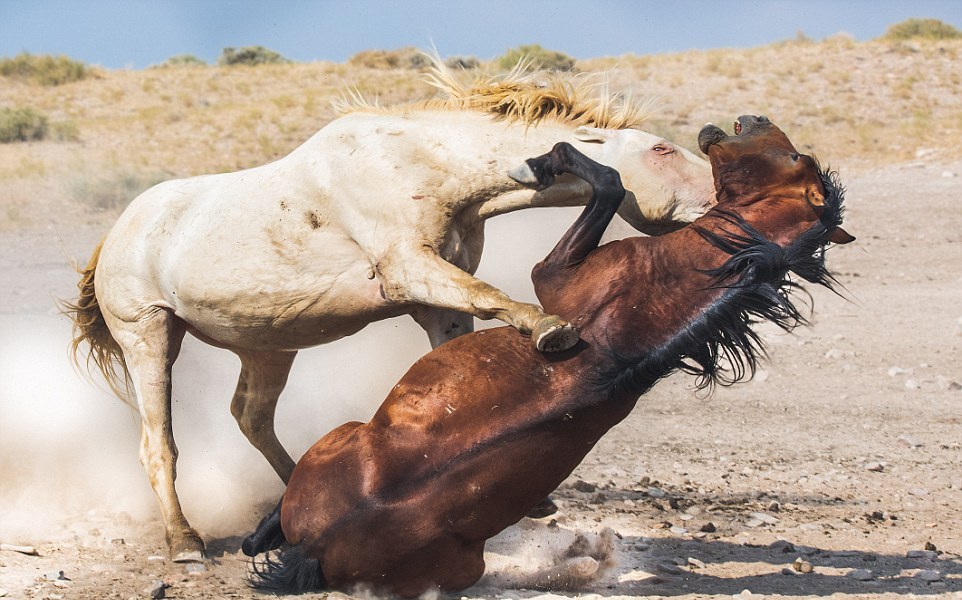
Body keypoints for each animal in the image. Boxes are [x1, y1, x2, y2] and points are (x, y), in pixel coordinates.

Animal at [63, 58, 708, 560]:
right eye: (662, 148)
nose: (717, 195)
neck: (423, 163)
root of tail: (114, 235)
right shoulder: (410, 269)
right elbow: (497, 299)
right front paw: (551, 329)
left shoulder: (437, 303)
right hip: (150, 336)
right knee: (158, 444)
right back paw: (185, 542)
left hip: (268, 346)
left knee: (251, 417)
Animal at [244, 115, 852, 596]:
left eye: (793, 157)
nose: (754, 117)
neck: (664, 294)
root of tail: (320, 548)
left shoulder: (553, 271)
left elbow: (607, 182)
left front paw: (542, 162)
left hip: (344, 438)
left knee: (263, 530)